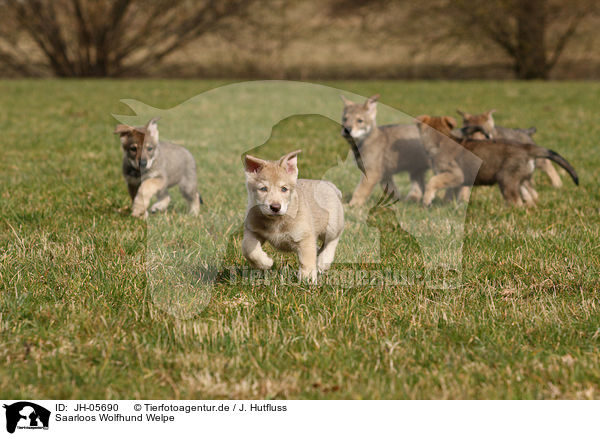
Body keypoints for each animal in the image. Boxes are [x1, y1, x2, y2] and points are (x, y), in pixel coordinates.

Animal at [243, 152, 344, 284]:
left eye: (284, 189)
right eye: (263, 189)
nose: (275, 207)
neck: (275, 222)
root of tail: (329, 185)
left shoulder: (305, 237)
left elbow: (306, 260)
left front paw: (307, 279)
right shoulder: (252, 230)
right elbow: (248, 249)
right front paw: (265, 263)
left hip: (332, 227)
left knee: (332, 240)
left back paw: (323, 261)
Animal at [414, 114, 580, 206]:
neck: (440, 139)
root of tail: (527, 147)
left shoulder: (455, 174)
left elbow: (433, 182)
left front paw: (427, 200)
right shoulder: (455, 181)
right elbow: (450, 192)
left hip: (506, 179)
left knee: (517, 202)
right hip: (520, 179)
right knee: (531, 195)